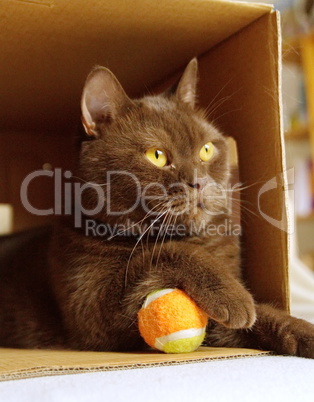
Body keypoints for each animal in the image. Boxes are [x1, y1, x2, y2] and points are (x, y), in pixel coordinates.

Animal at [0, 58, 312, 356]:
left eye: (206, 150)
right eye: (157, 156)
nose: (199, 182)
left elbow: (266, 315)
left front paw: (303, 331)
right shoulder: (91, 309)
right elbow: (163, 251)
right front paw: (234, 297)